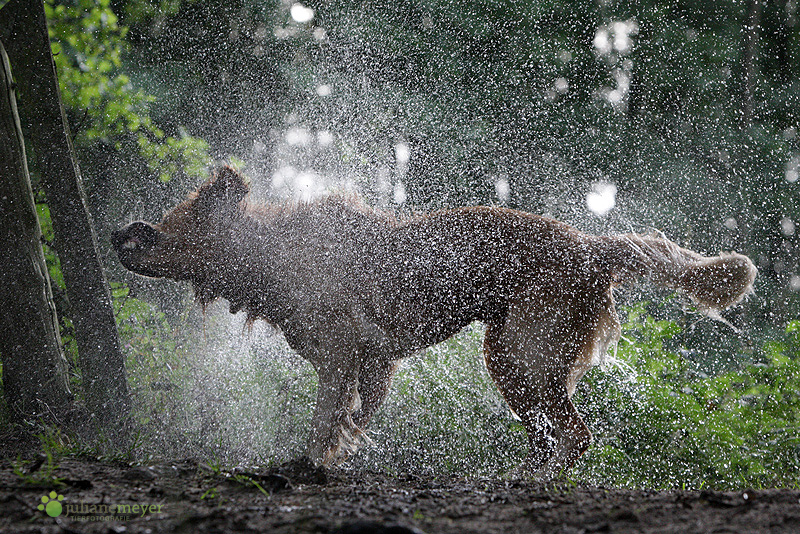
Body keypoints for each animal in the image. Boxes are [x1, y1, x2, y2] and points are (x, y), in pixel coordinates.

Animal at [112, 168, 756, 482]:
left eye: (164, 225)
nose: (120, 231)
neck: (270, 254)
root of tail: (592, 244)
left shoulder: (344, 350)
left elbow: (324, 419)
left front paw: (306, 463)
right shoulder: (372, 359)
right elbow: (351, 416)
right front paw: (333, 455)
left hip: (522, 353)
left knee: (574, 436)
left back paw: (528, 481)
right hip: (515, 359)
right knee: (555, 436)